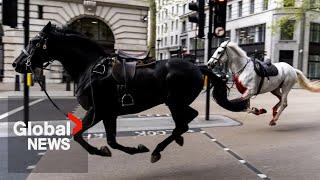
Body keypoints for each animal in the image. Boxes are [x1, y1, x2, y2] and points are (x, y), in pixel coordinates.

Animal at [12, 22, 249, 163]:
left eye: (34, 41)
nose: (16, 64)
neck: (90, 68)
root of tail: (199, 67)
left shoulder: (98, 111)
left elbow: (78, 135)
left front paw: (104, 151)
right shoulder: (108, 113)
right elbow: (111, 141)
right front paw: (127, 148)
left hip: (174, 102)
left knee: (185, 121)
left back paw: (158, 150)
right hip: (176, 102)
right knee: (187, 119)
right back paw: (175, 140)